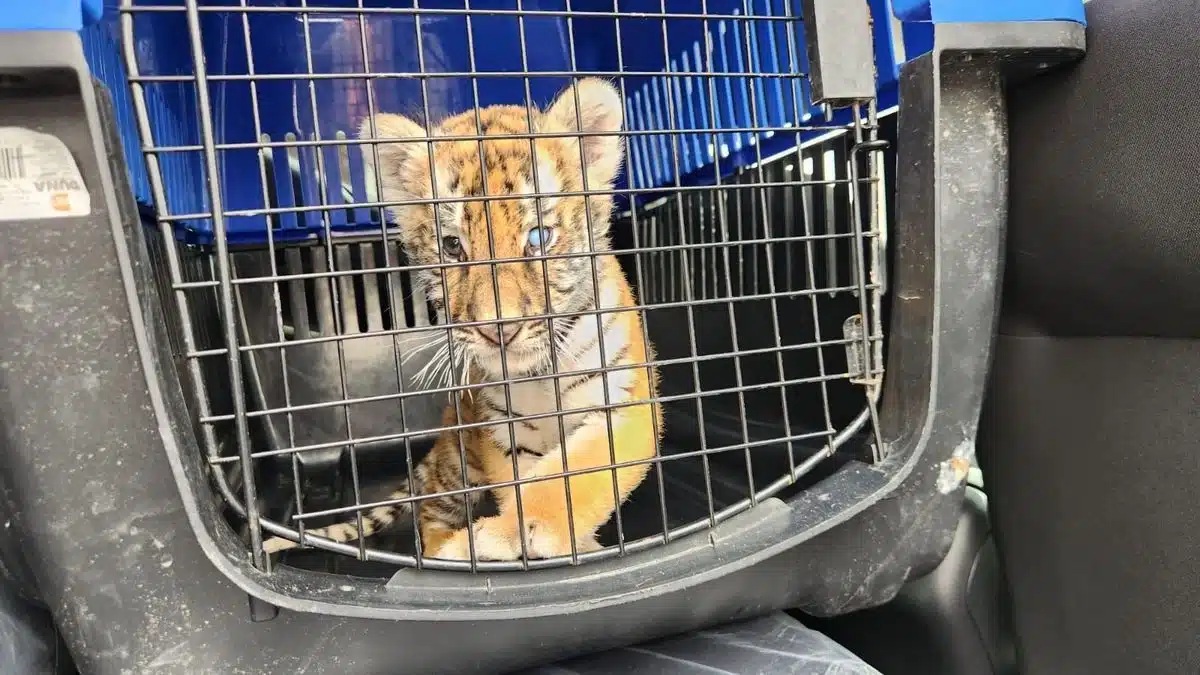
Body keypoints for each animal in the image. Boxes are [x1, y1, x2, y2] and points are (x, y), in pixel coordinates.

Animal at [262, 78, 662, 561]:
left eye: (538, 237)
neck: (537, 374)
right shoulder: (502, 433)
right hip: (457, 464)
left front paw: (536, 532)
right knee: (431, 512)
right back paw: (448, 551)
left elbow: (573, 476)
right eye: (453, 246)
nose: (498, 330)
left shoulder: (623, 404)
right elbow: (519, 487)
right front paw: (505, 538)